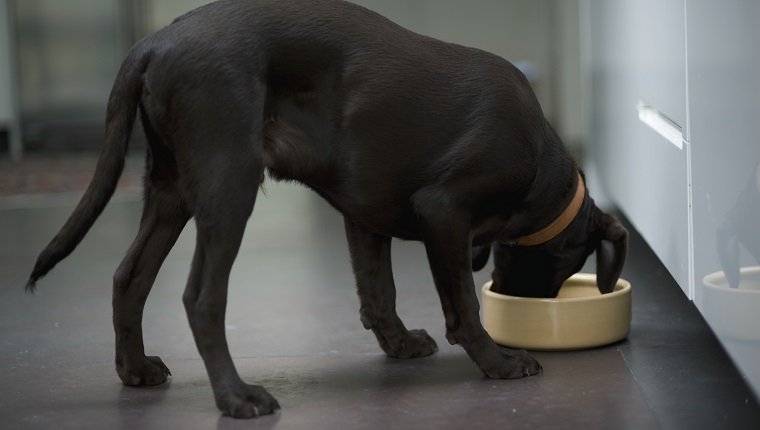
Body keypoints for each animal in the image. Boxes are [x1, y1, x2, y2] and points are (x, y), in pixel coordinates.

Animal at [26, 0, 628, 416]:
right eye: (568, 262)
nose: (532, 312)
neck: (541, 162)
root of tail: (152, 43)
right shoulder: (444, 211)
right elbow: (462, 305)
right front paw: (500, 362)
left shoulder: (364, 217)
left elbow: (379, 294)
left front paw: (401, 344)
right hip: (229, 185)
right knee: (201, 298)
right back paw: (237, 398)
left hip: (170, 191)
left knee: (129, 277)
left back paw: (135, 369)